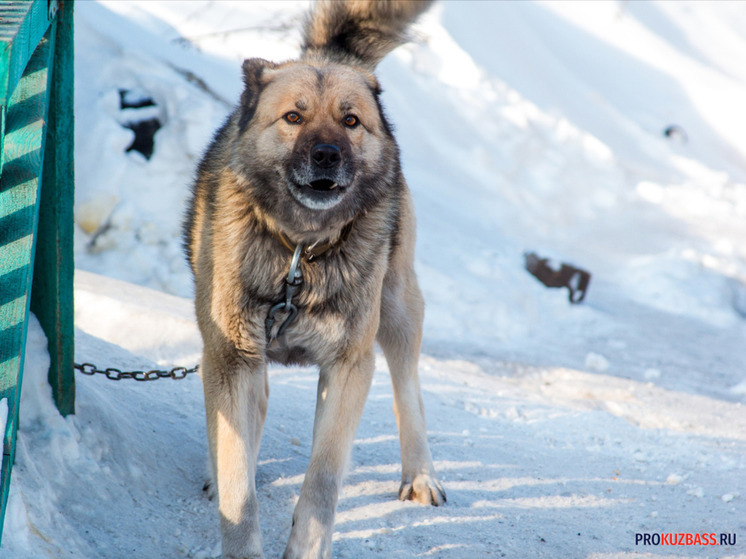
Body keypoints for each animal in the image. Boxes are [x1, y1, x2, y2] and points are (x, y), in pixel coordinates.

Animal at [184, 2, 444, 556]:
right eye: (293, 116)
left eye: (350, 121)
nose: (327, 153)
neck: (300, 254)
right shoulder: (231, 357)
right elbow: (238, 483)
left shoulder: (348, 367)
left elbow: (323, 480)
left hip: (396, 307)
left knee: (407, 386)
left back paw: (420, 474)